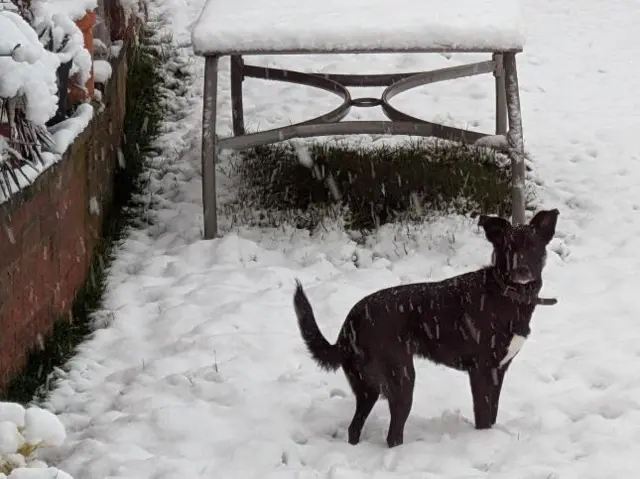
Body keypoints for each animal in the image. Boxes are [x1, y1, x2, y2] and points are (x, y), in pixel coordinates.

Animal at [292, 210, 556, 450]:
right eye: (508, 247)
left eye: (533, 246)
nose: (521, 270)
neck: (507, 294)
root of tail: (349, 324)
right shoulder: (481, 371)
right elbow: (483, 417)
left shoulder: (498, 371)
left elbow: (492, 413)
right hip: (402, 378)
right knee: (392, 435)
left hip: (368, 388)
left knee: (354, 428)